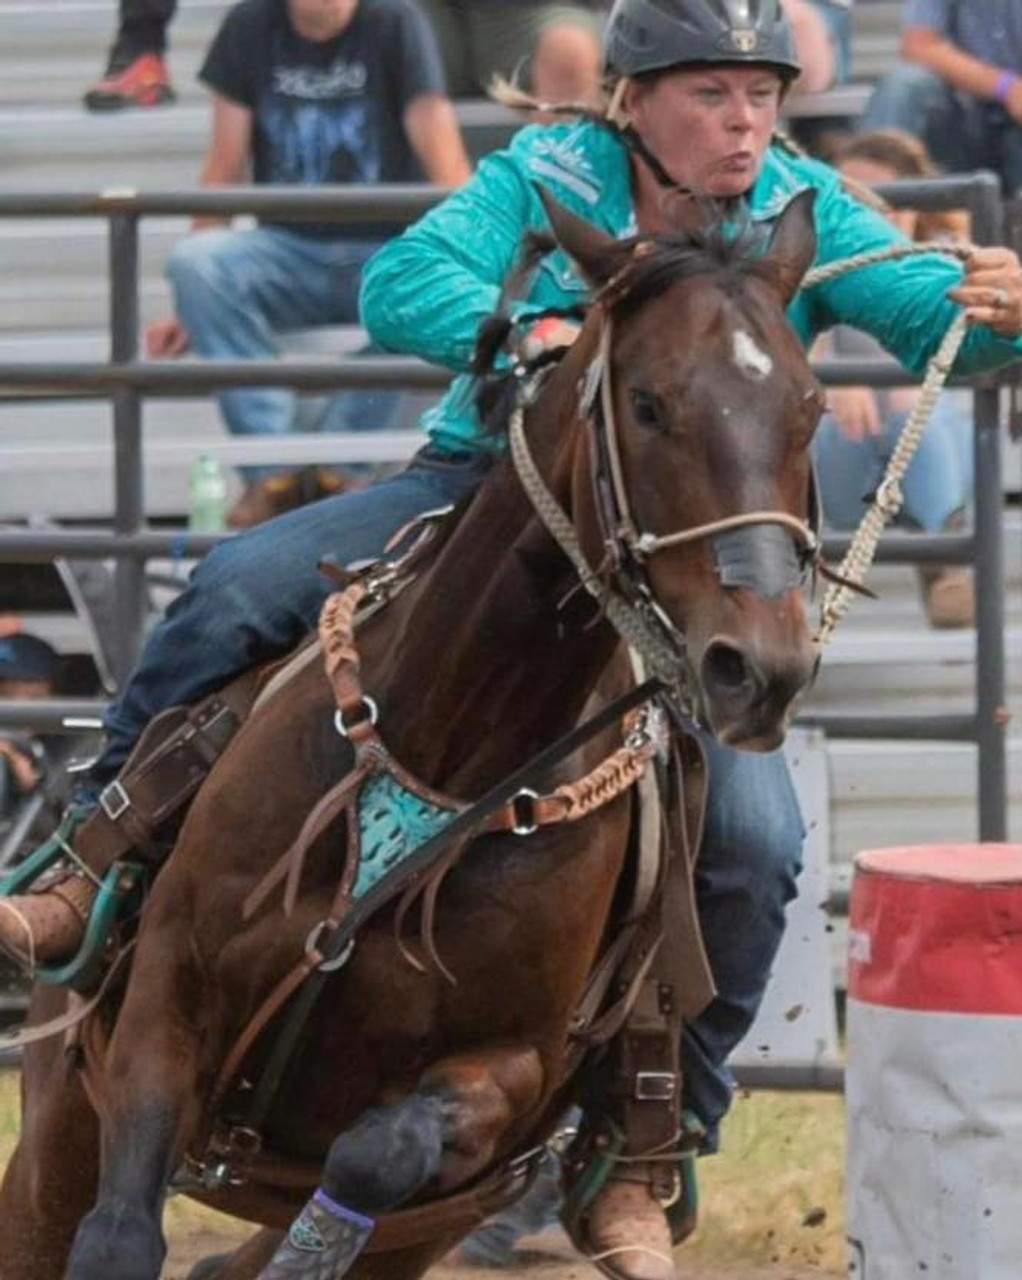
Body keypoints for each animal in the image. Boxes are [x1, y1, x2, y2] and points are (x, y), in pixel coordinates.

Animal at [0, 186, 824, 1280]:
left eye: (811, 408)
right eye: (648, 404)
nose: (760, 669)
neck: (447, 749)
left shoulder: (508, 1070)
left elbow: (380, 1148)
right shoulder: (162, 1000)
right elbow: (120, 1232)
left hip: (426, 1222)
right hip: (56, 1119)